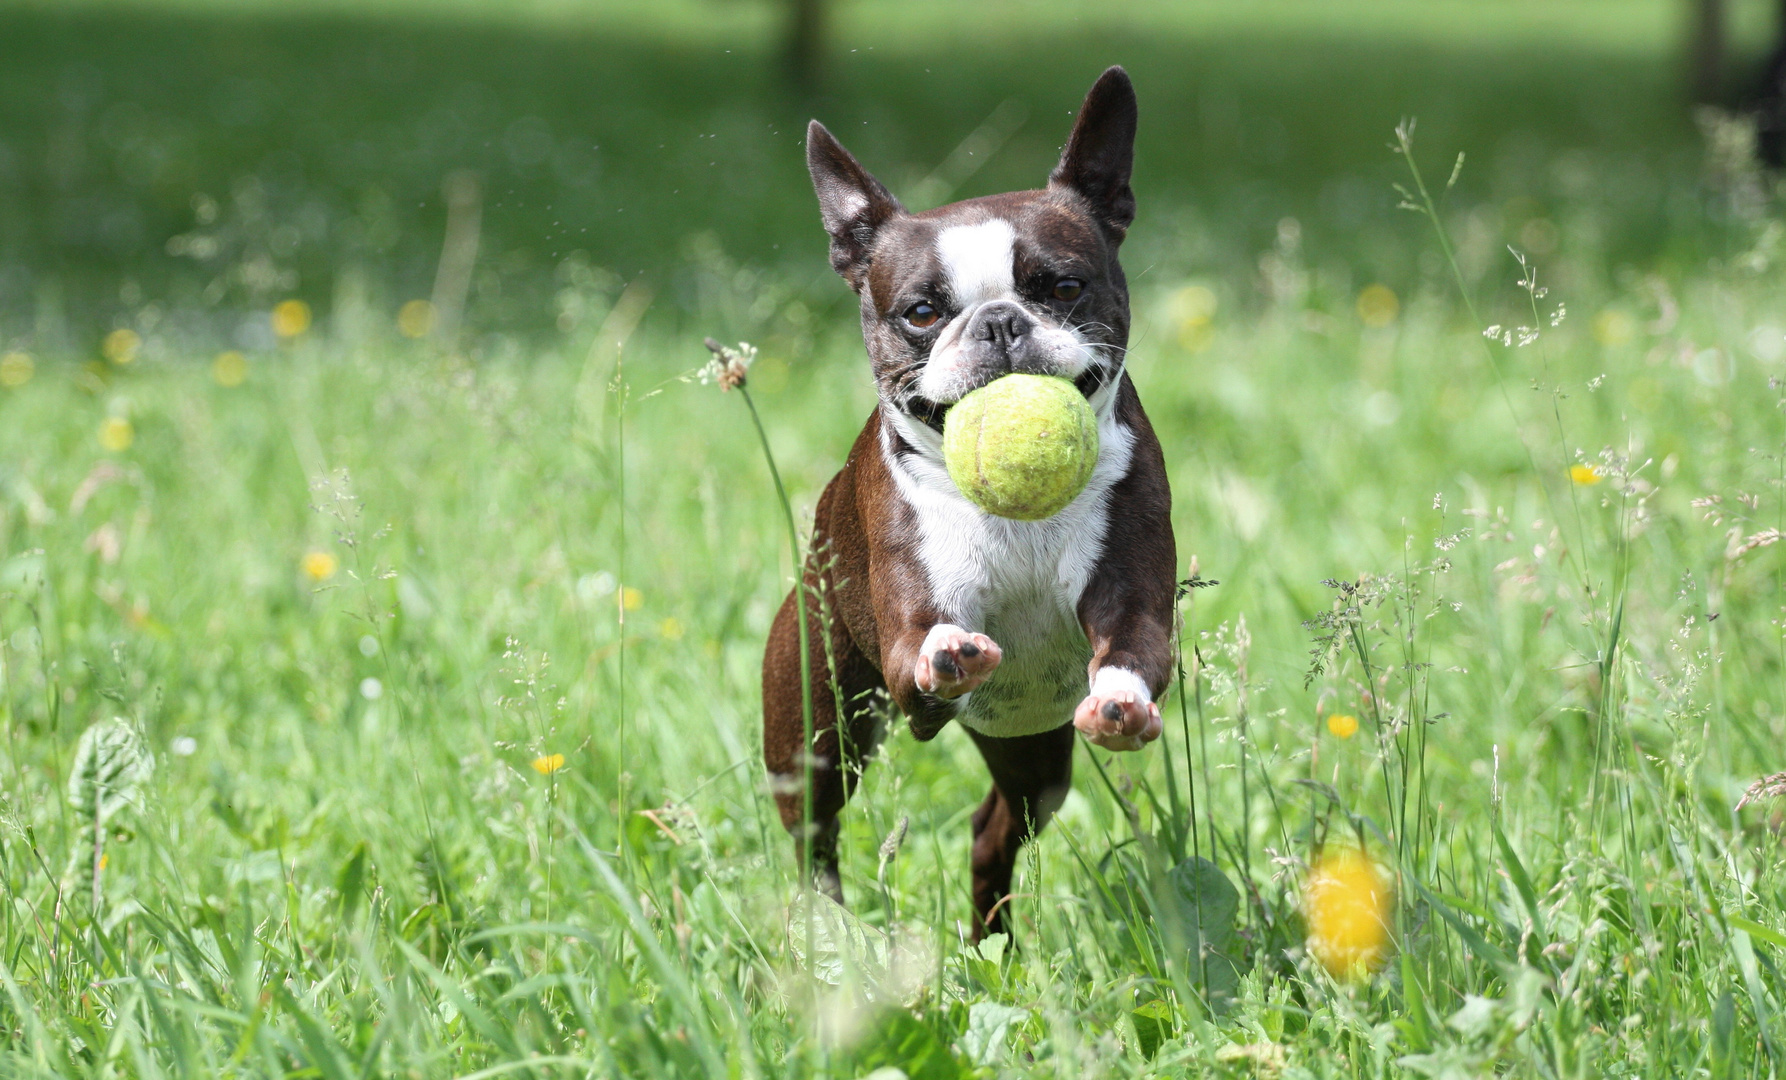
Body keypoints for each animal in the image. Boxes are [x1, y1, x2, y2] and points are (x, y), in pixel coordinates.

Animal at [760, 65, 1178, 935]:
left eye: (1063, 286)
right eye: (922, 312)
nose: (999, 324)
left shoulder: (1133, 596)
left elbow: (1133, 649)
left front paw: (1121, 700)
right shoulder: (907, 630)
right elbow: (925, 642)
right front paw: (947, 649)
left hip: (1033, 756)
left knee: (995, 829)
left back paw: (994, 941)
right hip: (815, 724)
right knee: (814, 834)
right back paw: (830, 925)